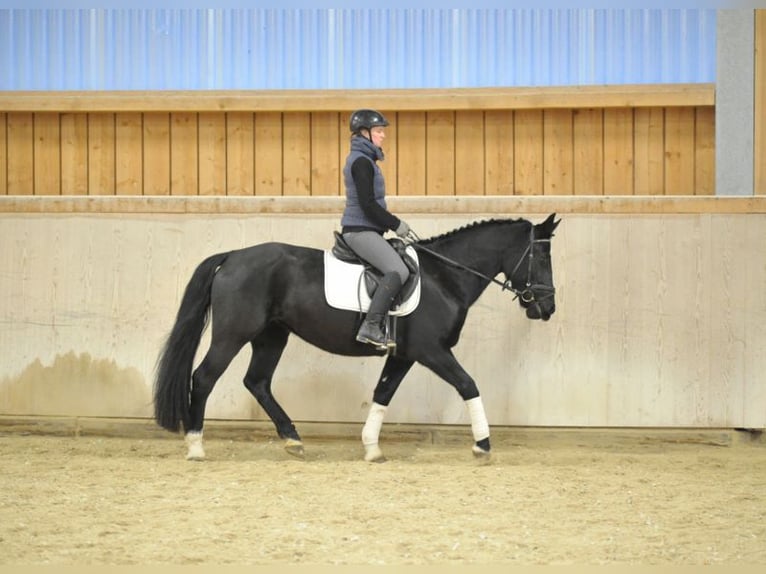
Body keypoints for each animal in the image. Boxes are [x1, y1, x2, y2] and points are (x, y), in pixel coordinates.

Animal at [153, 214, 560, 462]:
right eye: (541, 257)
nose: (547, 308)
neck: (444, 277)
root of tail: (234, 256)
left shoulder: (404, 354)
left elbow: (382, 394)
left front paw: (371, 448)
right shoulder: (432, 351)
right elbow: (468, 385)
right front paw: (483, 445)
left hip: (272, 337)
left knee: (257, 382)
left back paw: (293, 439)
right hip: (233, 334)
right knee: (204, 377)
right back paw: (195, 446)